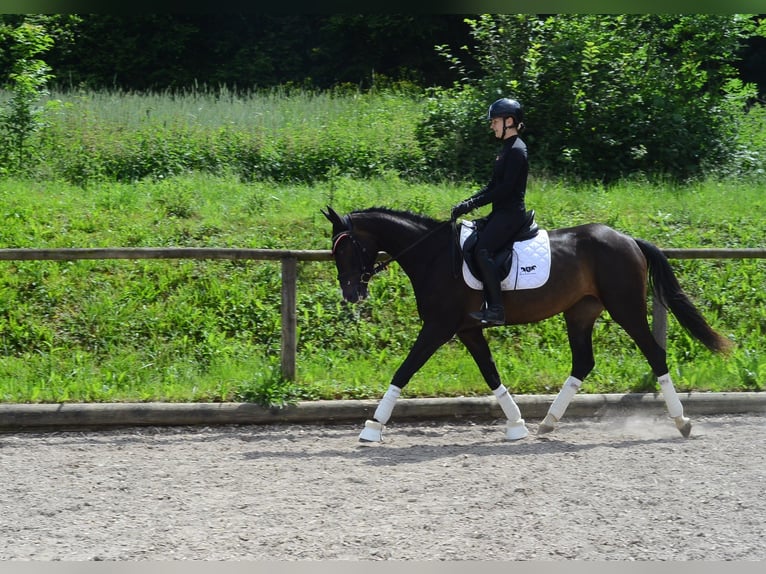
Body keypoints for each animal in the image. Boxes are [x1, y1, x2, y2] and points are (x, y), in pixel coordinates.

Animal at [322, 206, 732, 442]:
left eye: (346, 249)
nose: (351, 294)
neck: (433, 256)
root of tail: (628, 239)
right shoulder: (467, 329)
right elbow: (490, 374)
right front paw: (517, 424)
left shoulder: (438, 327)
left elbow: (403, 371)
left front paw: (372, 427)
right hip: (580, 312)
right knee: (583, 363)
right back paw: (547, 423)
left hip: (625, 308)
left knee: (655, 354)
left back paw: (682, 423)